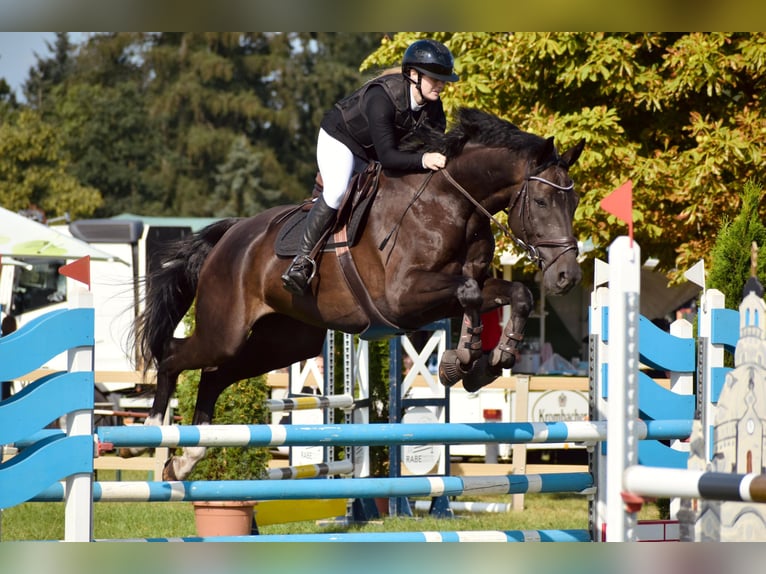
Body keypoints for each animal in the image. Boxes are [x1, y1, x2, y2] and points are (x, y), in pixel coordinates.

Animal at [130, 107, 585, 480]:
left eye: (575, 200)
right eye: (541, 201)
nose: (567, 277)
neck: (453, 204)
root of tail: (229, 236)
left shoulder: (459, 287)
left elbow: (515, 294)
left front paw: (490, 360)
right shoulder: (403, 299)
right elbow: (470, 294)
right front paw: (462, 359)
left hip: (283, 341)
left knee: (214, 375)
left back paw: (186, 460)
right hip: (225, 331)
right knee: (173, 355)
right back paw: (151, 433)